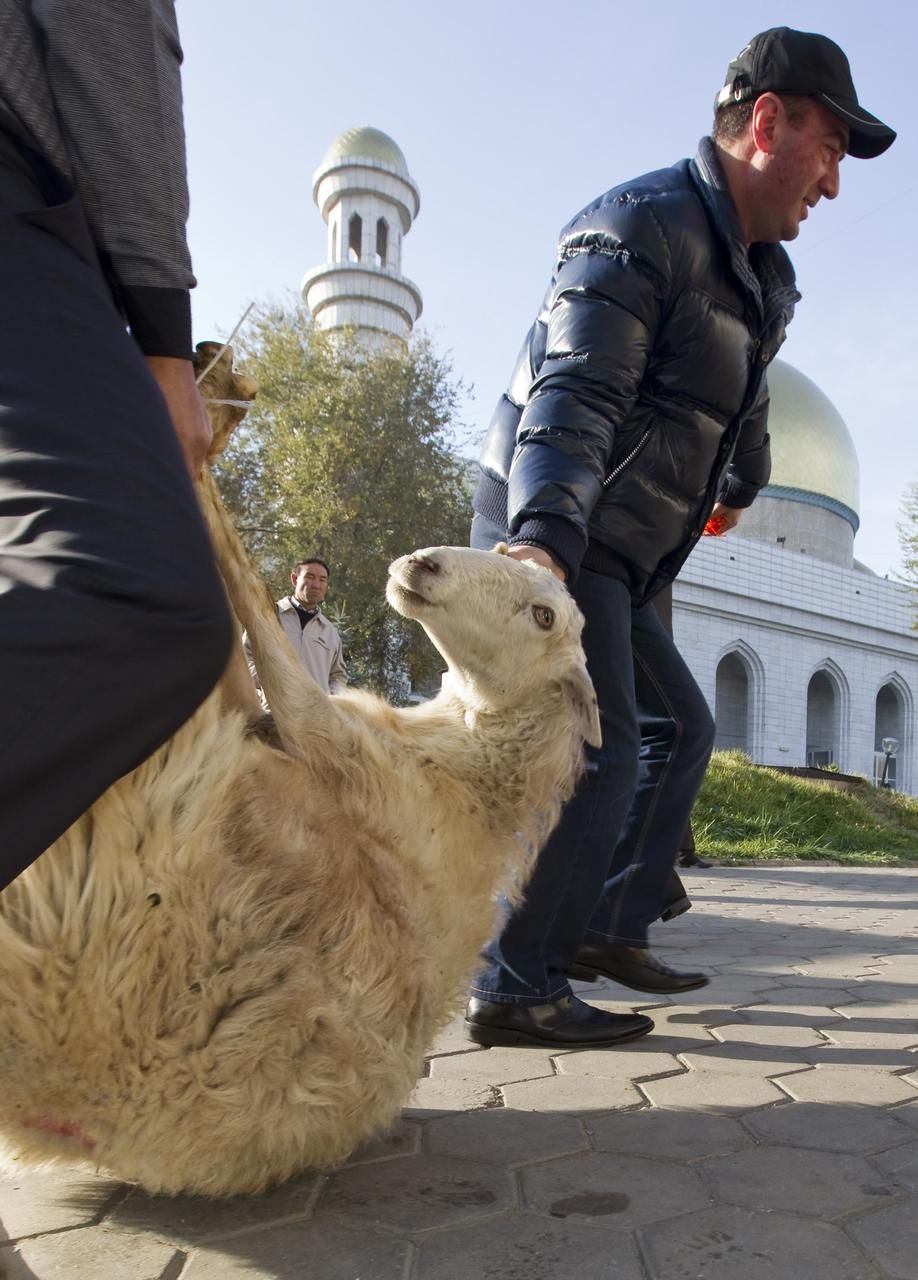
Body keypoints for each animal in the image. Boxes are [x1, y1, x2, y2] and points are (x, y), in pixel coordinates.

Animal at [0, 343, 601, 1198]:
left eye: (544, 615)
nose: (422, 565)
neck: (468, 777)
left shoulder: (320, 736)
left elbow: (250, 602)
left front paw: (202, 436)